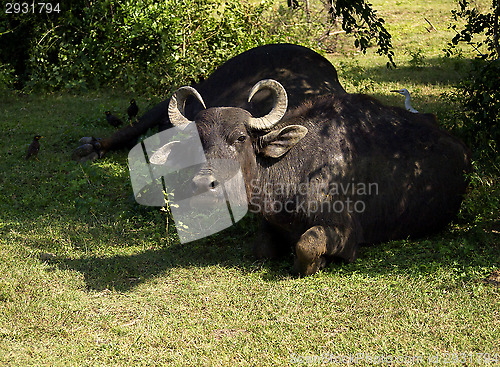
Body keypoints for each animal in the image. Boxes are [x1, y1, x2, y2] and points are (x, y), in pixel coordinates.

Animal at [152, 80, 468, 276]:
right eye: (196, 143)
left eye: (240, 137)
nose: (202, 186)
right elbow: (261, 248)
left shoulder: (346, 231)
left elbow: (306, 245)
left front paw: (319, 262)